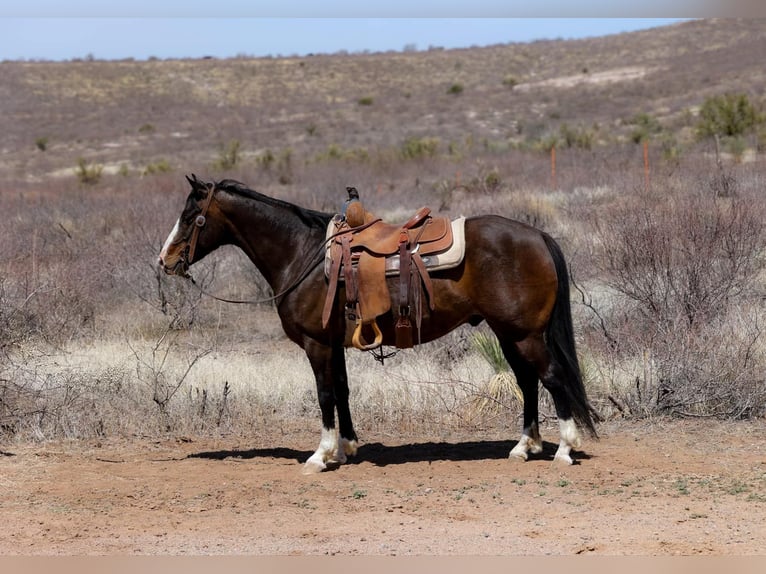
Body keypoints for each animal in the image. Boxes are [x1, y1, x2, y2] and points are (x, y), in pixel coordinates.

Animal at [158, 175, 599, 474]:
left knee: (553, 377)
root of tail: (538, 235)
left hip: (525, 334)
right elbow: (342, 391)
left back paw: (564, 449)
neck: (302, 254)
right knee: (528, 381)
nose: (164, 260)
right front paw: (347, 447)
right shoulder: (334, 345)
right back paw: (524, 447)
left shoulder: (317, 345)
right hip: (508, 333)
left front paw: (320, 454)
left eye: (191, 216)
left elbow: (324, 395)